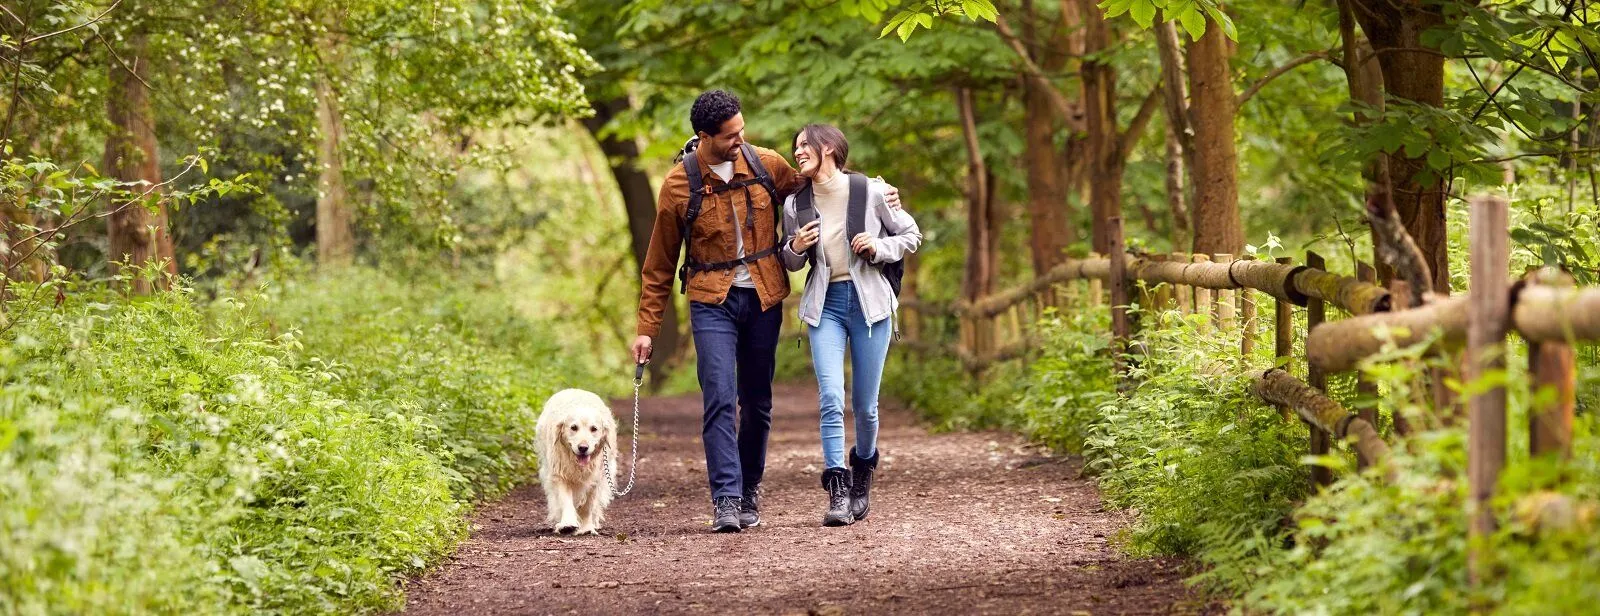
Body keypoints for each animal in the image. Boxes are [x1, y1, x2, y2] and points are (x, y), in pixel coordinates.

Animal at [534, 388, 614, 531]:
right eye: (573, 427)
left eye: (594, 429)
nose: (583, 448)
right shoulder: (559, 474)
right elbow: (565, 500)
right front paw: (568, 523)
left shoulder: (595, 478)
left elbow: (588, 505)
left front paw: (586, 527)